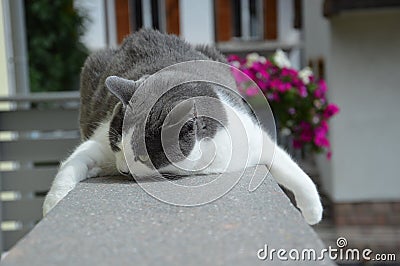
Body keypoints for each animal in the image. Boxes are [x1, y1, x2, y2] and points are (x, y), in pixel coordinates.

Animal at [43, 29, 322, 224]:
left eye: (142, 156)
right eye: (117, 145)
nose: (122, 169)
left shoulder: (252, 137)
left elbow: (289, 167)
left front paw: (312, 211)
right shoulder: (100, 143)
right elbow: (74, 163)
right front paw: (52, 204)